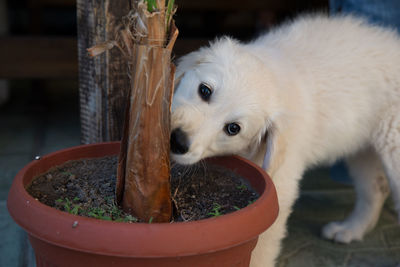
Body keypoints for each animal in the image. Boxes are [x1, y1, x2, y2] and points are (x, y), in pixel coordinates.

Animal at [170, 15, 400, 267]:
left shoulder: (278, 185)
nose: (177, 141)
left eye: (233, 129)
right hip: (362, 149)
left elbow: (261, 248)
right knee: (376, 188)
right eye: (204, 90)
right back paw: (350, 229)